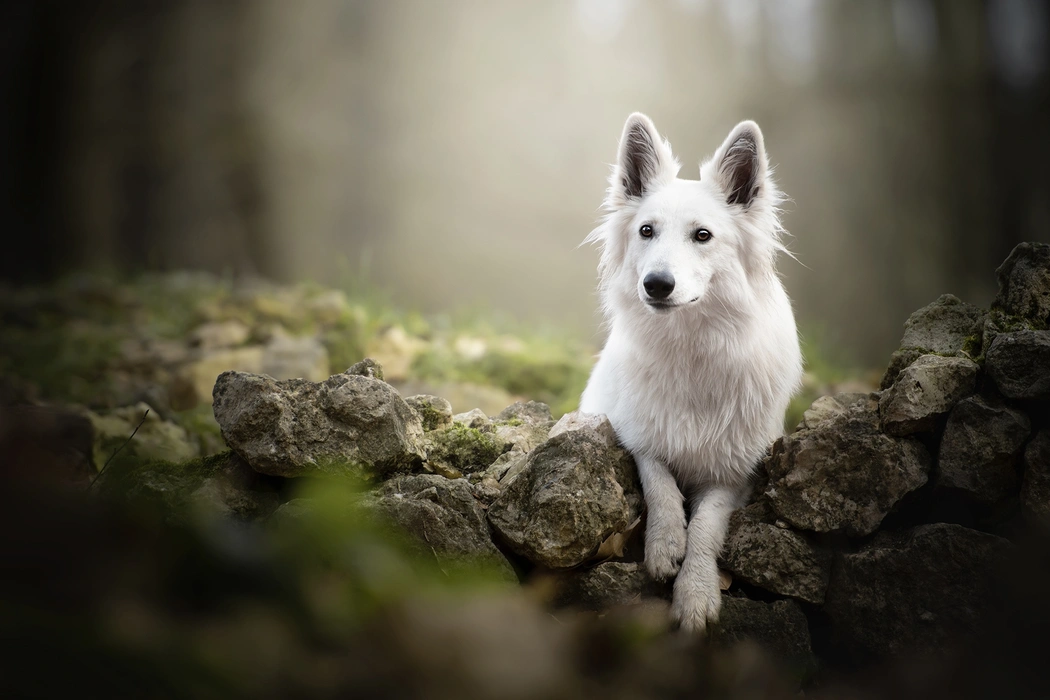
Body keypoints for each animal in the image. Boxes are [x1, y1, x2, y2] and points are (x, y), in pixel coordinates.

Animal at [583, 113, 802, 633]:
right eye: (646, 230)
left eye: (702, 236)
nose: (656, 284)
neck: (690, 349)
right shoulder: (636, 433)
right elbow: (659, 479)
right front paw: (664, 545)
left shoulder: (736, 472)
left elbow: (707, 524)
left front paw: (697, 590)